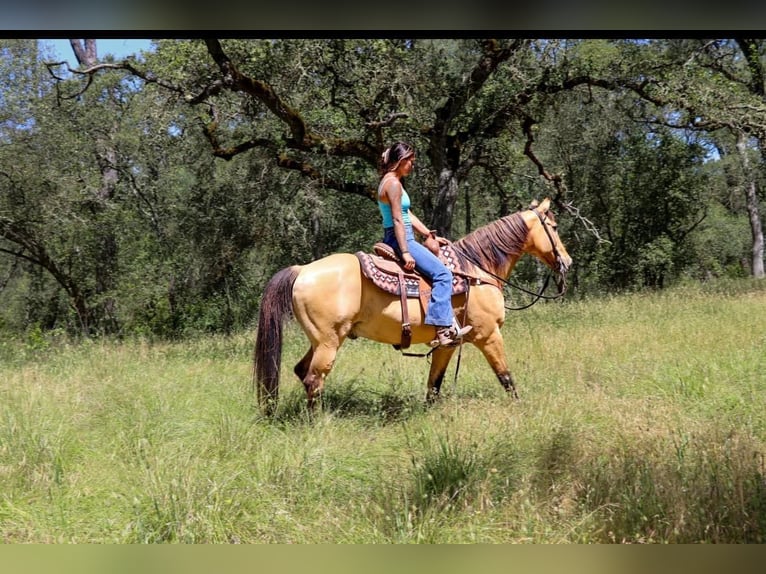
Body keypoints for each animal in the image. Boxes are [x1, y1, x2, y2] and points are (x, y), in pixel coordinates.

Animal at [253, 197, 572, 413]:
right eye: (554, 227)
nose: (567, 262)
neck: (477, 271)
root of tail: (302, 270)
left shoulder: (448, 343)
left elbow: (434, 385)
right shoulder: (489, 335)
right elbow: (506, 377)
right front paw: (521, 408)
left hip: (319, 340)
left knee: (300, 371)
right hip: (329, 342)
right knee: (313, 379)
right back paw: (319, 422)